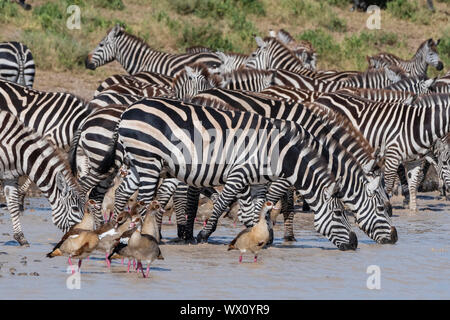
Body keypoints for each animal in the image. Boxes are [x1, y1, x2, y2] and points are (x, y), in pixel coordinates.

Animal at [0, 110, 83, 245]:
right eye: (75, 209)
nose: (81, 233)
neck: (20, 153)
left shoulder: (10, 177)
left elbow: (13, 205)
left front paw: (21, 237)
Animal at [312, 92, 450, 212]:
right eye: (445, 162)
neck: (418, 127)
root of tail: (321, 97)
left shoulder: (415, 160)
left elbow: (412, 185)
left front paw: (413, 211)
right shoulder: (393, 156)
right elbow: (388, 186)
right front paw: (387, 206)